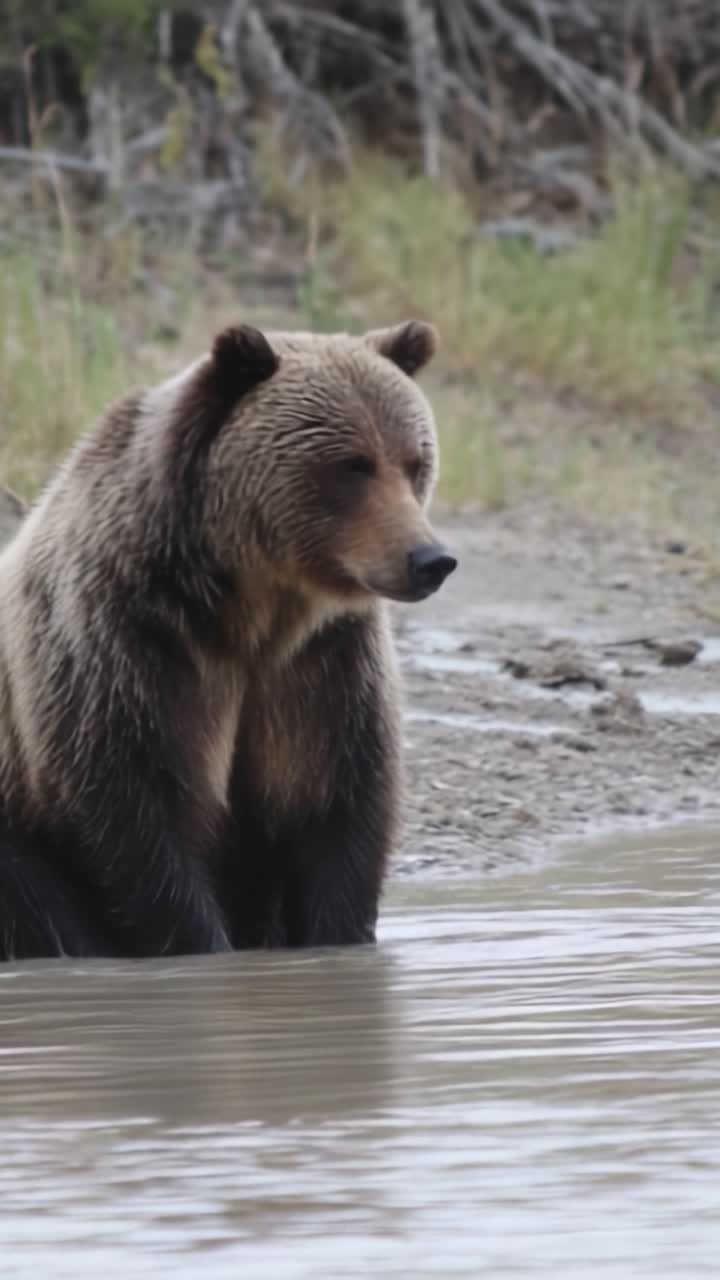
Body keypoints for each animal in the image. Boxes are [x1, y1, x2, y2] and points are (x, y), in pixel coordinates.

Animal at [0, 319, 456, 961]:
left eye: (415, 461)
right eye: (352, 465)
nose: (430, 559)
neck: (250, 606)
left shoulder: (322, 665)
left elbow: (339, 807)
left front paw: (340, 943)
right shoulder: (126, 642)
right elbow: (138, 816)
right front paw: (202, 945)